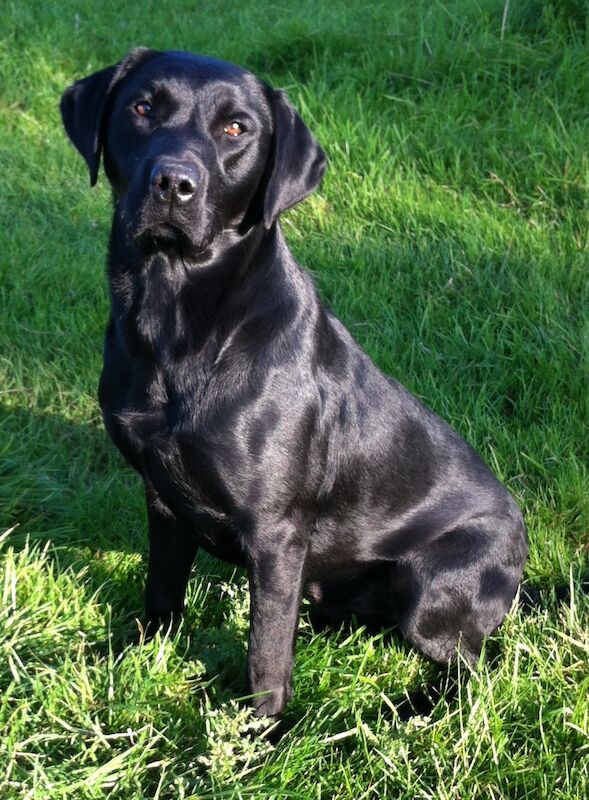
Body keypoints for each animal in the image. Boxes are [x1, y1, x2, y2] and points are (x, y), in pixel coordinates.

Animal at [62, 51, 524, 720]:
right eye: (142, 107)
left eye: (237, 128)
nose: (173, 183)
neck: (177, 324)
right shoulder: (162, 499)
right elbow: (160, 596)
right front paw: (132, 665)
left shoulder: (276, 535)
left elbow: (267, 653)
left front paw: (259, 734)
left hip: (430, 587)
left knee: (472, 670)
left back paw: (404, 710)